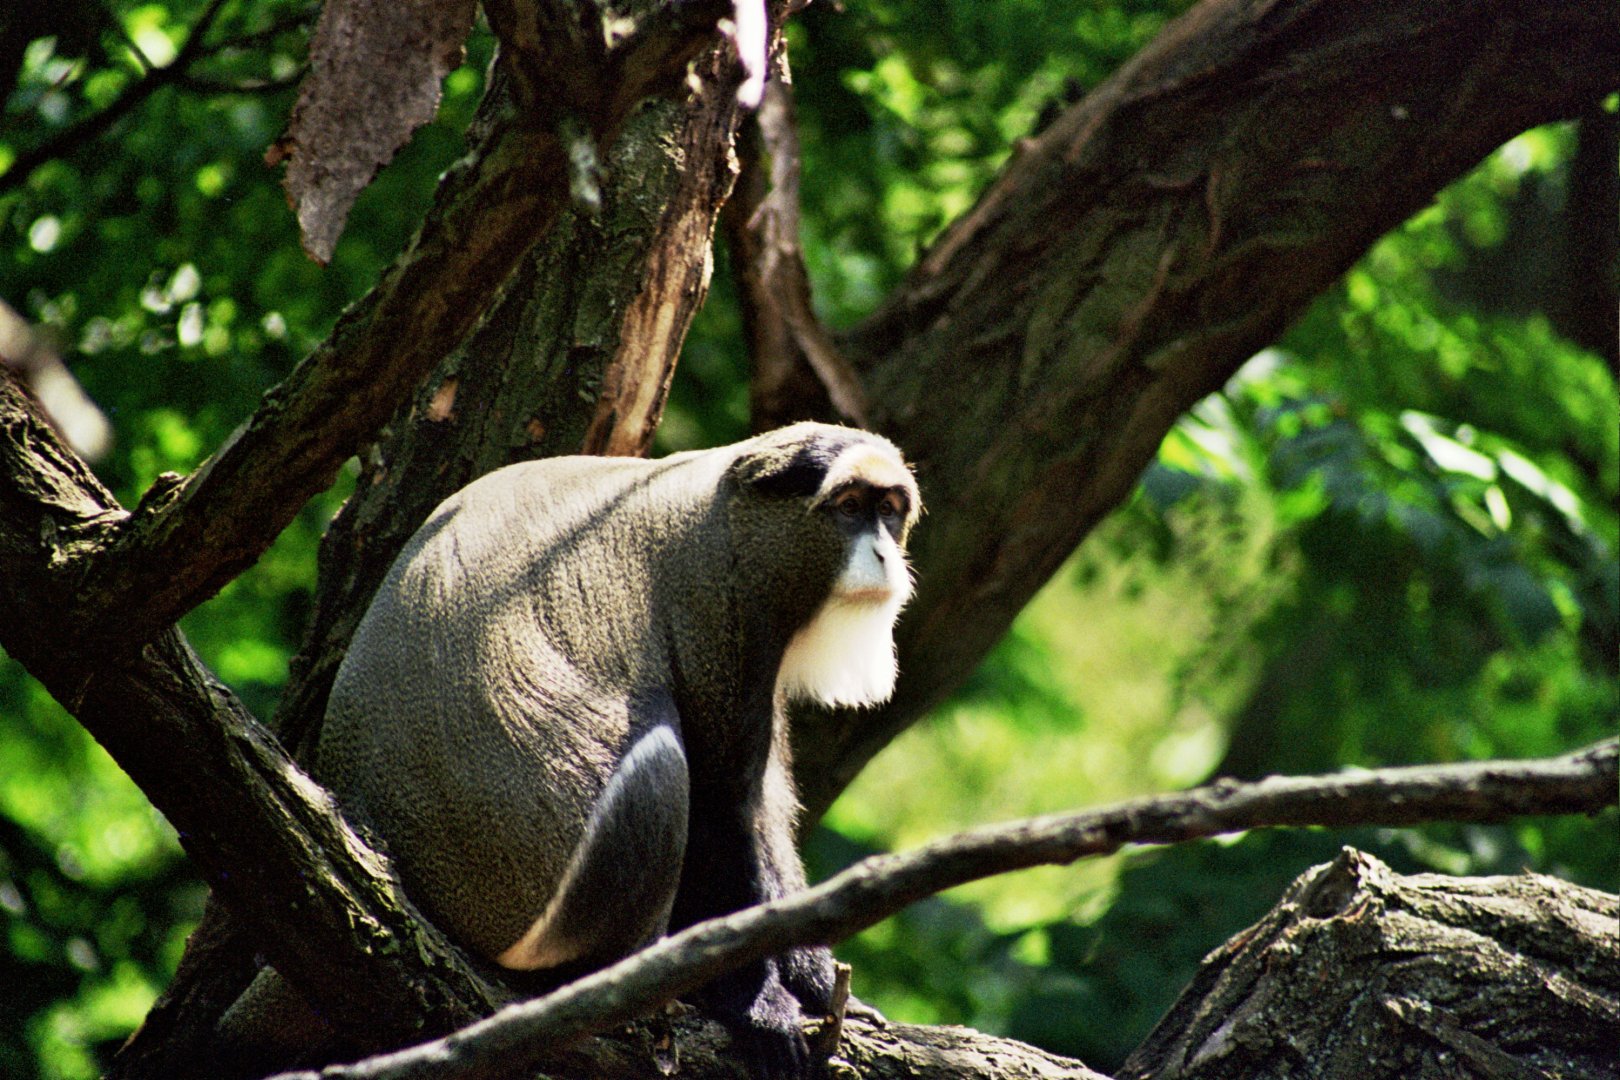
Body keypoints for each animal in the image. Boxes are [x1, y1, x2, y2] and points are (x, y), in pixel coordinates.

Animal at [311, 422, 921, 1077]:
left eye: (888, 510)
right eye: (850, 507)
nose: (885, 556)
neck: (731, 513)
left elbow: (763, 816)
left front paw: (821, 986)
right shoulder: (717, 612)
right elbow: (721, 808)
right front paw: (757, 1003)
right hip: (554, 913)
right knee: (660, 763)